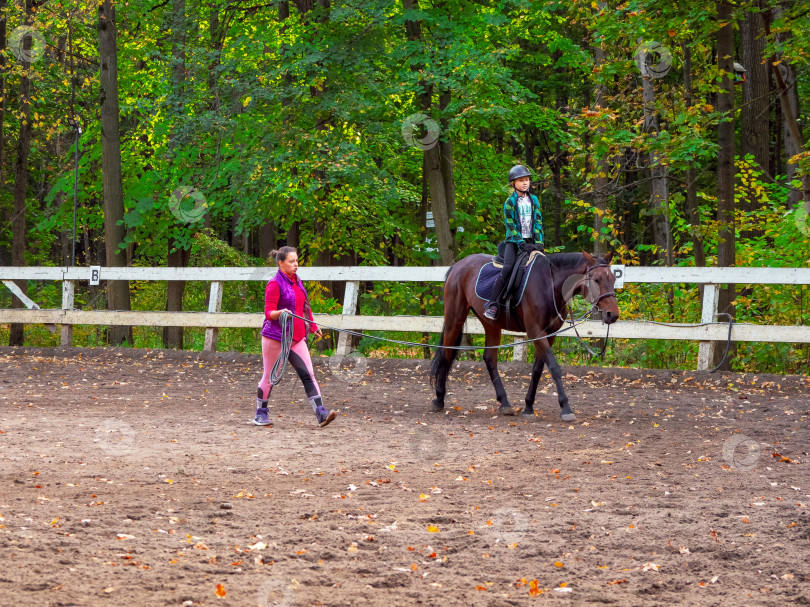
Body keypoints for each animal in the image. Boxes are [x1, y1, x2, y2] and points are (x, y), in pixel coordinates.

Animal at [430, 252, 620, 422]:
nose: (613, 315)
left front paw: (528, 407)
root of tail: (458, 265)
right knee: (446, 354)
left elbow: (537, 370)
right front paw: (566, 408)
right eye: (596, 279)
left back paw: (505, 403)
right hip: (454, 318)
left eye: (613, 279)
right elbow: (554, 367)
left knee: (489, 359)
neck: (550, 285)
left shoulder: (549, 334)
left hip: (491, 324)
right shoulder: (536, 331)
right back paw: (439, 399)